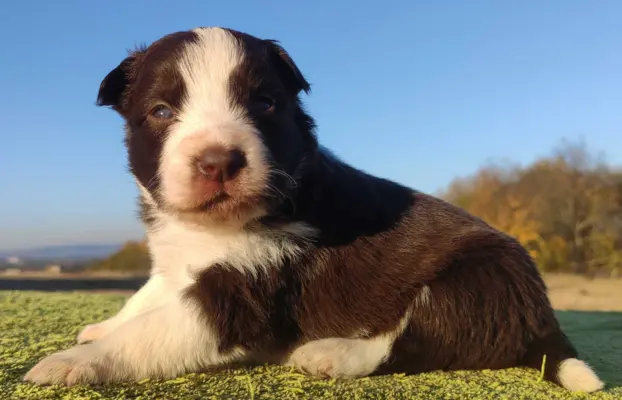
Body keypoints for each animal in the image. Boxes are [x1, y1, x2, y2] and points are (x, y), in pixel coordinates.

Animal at [23, 26, 604, 392]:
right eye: (162, 111)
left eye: (264, 104)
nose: (218, 161)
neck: (214, 229)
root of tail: (542, 315)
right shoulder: (177, 263)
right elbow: (145, 300)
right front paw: (102, 326)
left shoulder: (241, 292)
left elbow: (151, 332)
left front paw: (72, 362)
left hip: (473, 285)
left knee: (416, 340)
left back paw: (330, 353)